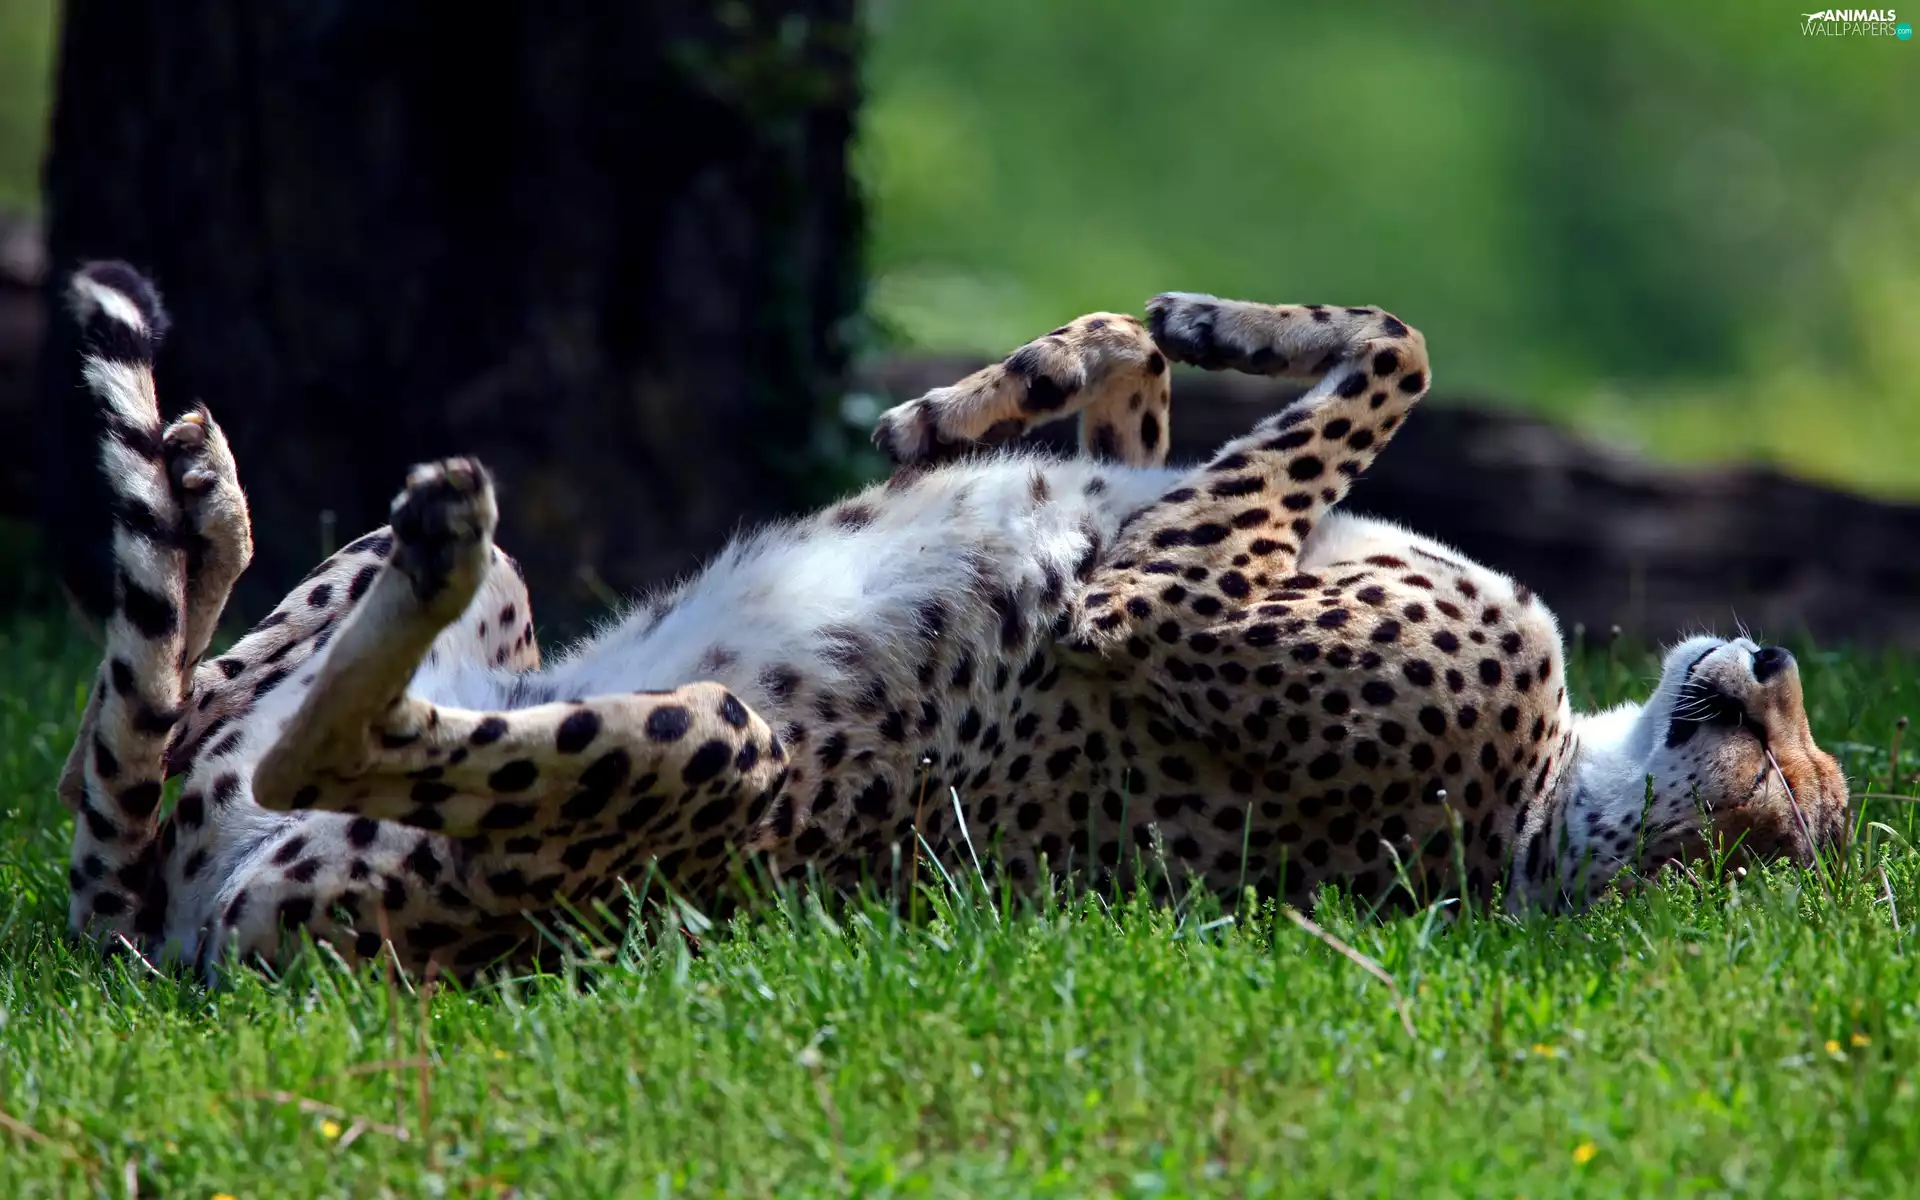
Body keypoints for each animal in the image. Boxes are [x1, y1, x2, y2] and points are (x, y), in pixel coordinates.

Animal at [55, 260, 1850, 980]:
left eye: (1795, 808)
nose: (1772, 658)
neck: (1547, 800)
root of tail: (167, 934)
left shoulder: (1158, 595)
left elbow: (1398, 351)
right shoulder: (1157, 520)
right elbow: (1159, 380)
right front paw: (998, 389)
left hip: (719, 762)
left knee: (291, 744)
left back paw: (414, 537)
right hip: (480, 644)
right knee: (156, 719)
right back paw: (210, 498)